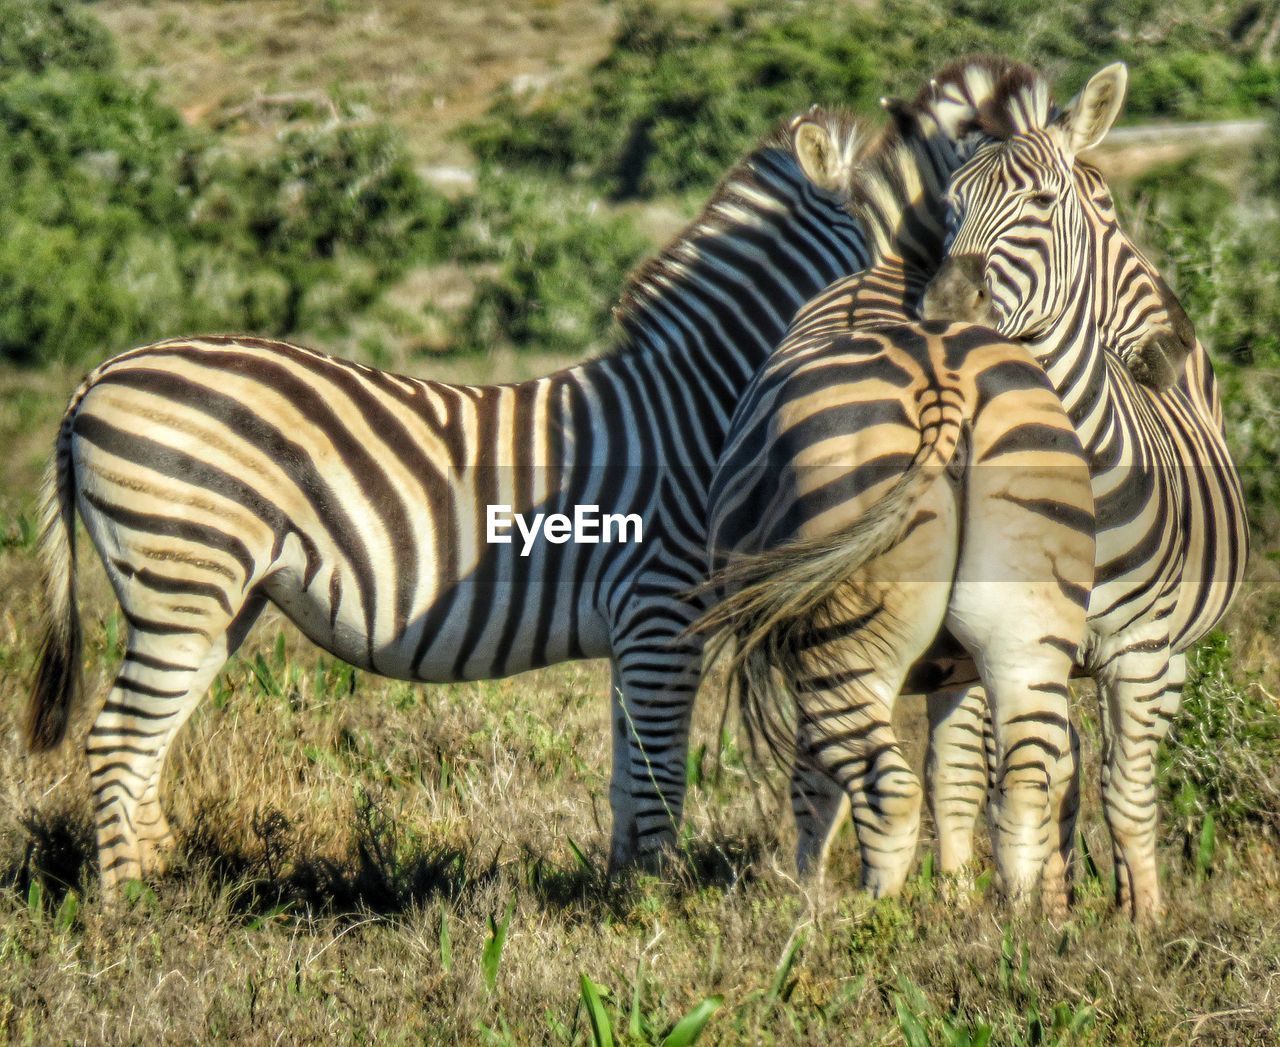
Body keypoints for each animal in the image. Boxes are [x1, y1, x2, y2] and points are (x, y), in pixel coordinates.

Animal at [24, 110, 875, 895]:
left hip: (213, 598)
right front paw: (652, 907)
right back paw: (131, 913)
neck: (697, 407)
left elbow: (630, 777)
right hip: (183, 569)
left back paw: (162, 880)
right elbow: (658, 777)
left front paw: (620, 894)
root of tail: (99, 373)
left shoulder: (641, 630)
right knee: (117, 740)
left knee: (148, 739)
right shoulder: (661, 612)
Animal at [921, 61, 1249, 916]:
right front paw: (1036, 919)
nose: (943, 308)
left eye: (1042, 201)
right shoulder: (1012, 642)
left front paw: (1145, 925)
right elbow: (1021, 788)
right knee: (1035, 770)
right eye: (949, 208)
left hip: (1168, 655)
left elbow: (1125, 793)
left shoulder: (1138, 650)